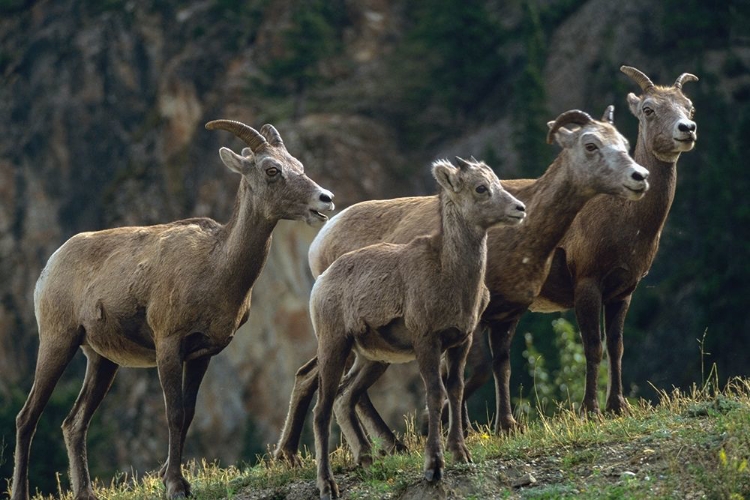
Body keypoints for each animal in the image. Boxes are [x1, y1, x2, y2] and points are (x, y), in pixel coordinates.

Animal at [11, 121, 334, 500]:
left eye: (298, 164)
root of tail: (50, 267)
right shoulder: (168, 345)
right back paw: (20, 492)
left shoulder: (201, 354)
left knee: (73, 423)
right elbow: (175, 413)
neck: (216, 266)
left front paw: (173, 477)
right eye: (272, 170)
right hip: (57, 342)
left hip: (102, 360)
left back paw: (85, 493)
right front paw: (176, 485)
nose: (324, 199)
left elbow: (189, 412)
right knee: (27, 417)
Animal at [276, 105, 652, 464]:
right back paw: (297, 453)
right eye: (591, 144)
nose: (639, 177)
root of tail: (322, 238)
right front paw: (446, 429)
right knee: (317, 379)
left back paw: (378, 447)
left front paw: (504, 426)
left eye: (623, 142)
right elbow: (464, 375)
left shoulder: (505, 316)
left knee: (336, 385)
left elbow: (500, 368)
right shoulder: (468, 324)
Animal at [308, 158, 524, 498]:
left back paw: (367, 459)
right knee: (321, 410)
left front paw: (461, 454)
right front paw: (434, 467)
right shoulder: (426, 341)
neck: (449, 275)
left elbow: (455, 391)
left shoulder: (460, 342)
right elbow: (435, 394)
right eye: (480, 188)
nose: (520, 209)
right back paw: (328, 485)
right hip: (333, 347)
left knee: (345, 397)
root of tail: (321, 281)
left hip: (372, 359)